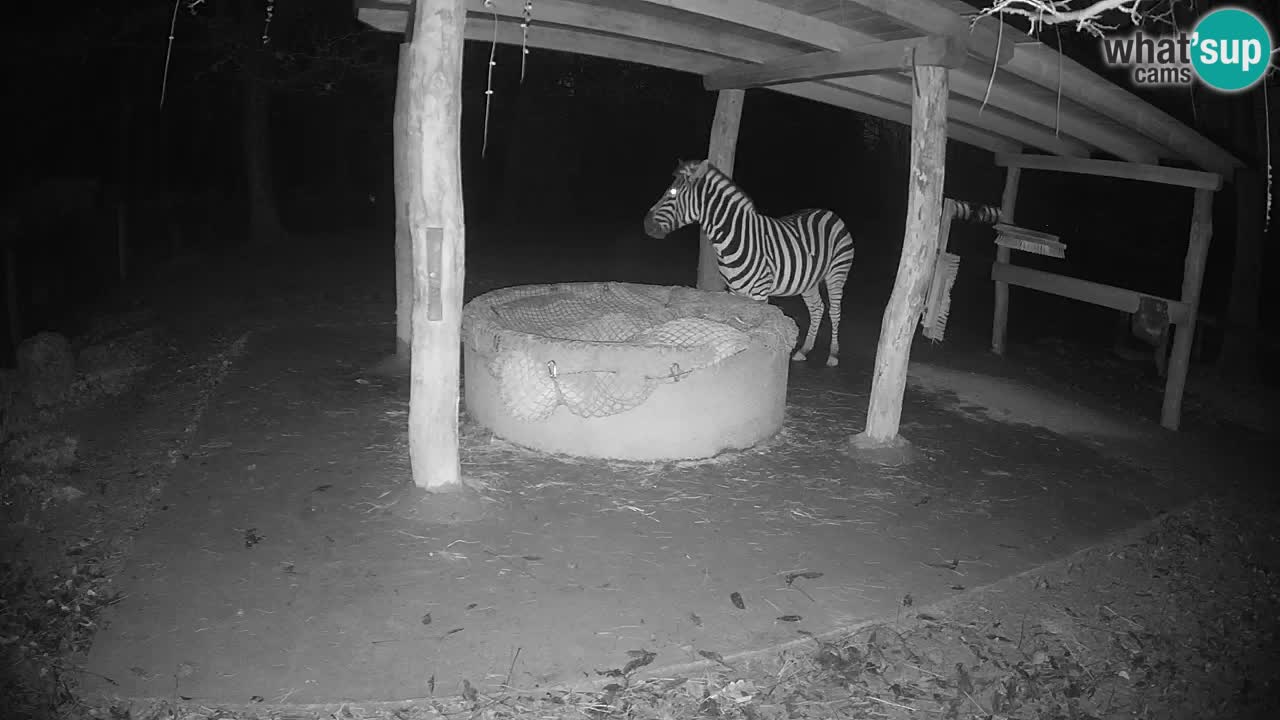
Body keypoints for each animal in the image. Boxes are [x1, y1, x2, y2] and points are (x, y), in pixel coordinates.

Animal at [642, 159, 856, 367]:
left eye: (672, 193)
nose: (646, 225)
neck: (734, 239)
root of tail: (828, 212)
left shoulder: (759, 293)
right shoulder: (734, 290)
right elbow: (734, 323)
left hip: (837, 273)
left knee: (834, 311)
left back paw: (833, 355)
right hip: (809, 280)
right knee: (817, 308)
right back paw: (804, 350)